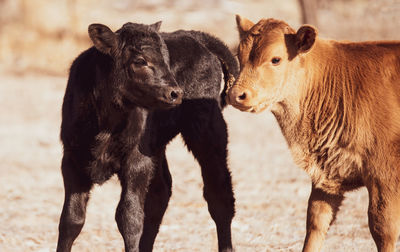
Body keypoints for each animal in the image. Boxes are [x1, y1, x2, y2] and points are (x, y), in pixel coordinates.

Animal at [56, 21, 238, 252]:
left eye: (166, 59)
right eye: (140, 61)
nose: (175, 93)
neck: (107, 123)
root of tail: (195, 35)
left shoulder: (136, 161)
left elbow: (129, 218)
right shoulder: (72, 159)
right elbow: (71, 219)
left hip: (207, 130)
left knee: (219, 195)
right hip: (156, 146)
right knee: (160, 193)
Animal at [228, 15, 400, 252]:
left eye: (276, 59)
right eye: (239, 56)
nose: (236, 95)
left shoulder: (384, 175)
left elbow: (383, 228)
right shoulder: (326, 174)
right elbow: (316, 222)